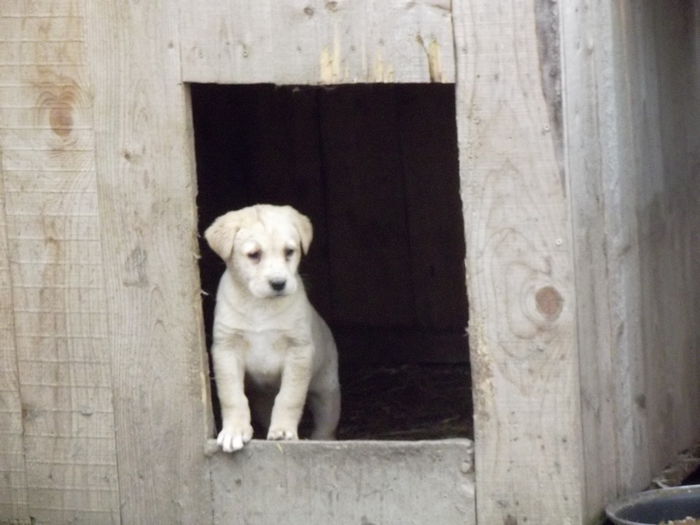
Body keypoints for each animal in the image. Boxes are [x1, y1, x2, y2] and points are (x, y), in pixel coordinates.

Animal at [204, 205, 340, 450]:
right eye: (254, 255)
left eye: (289, 251)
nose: (278, 283)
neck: (260, 306)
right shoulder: (226, 349)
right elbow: (232, 396)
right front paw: (234, 430)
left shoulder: (298, 350)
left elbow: (289, 396)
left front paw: (284, 431)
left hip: (327, 390)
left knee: (326, 424)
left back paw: (321, 441)